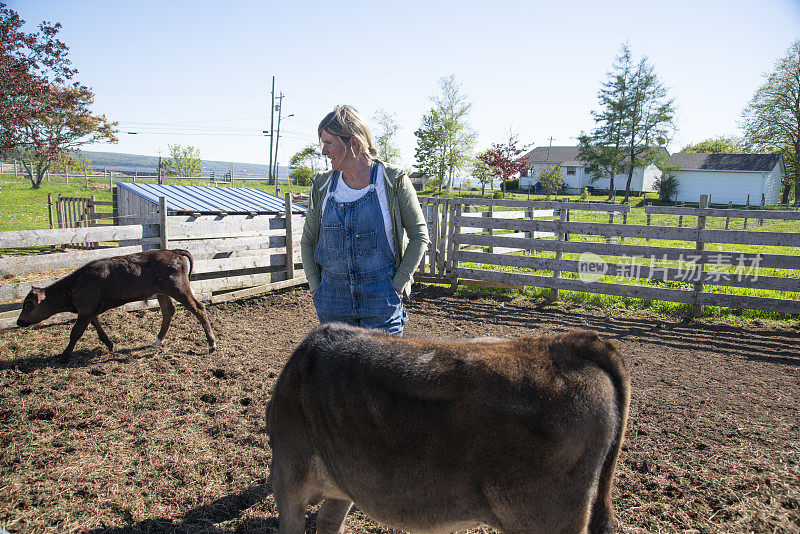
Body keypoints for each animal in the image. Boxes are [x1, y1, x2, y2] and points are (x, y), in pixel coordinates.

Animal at [16, 250, 216, 360]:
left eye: (29, 305)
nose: (19, 322)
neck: (77, 284)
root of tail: (174, 251)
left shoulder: (85, 310)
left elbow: (75, 333)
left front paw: (64, 355)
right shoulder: (89, 310)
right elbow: (97, 327)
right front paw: (110, 344)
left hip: (178, 289)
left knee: (198, 308)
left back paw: (211, 344)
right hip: (162, 292)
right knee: (169, 312)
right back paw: (157, 341)